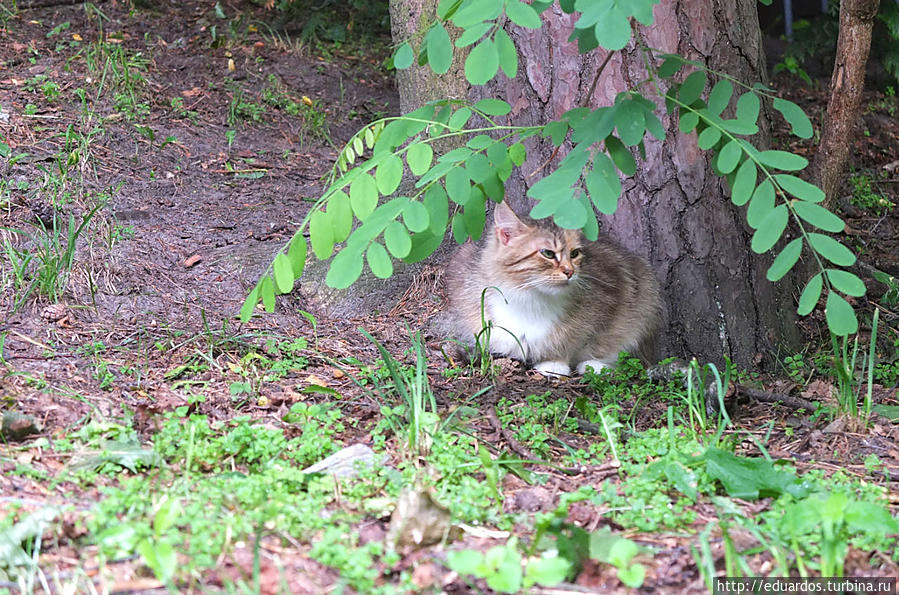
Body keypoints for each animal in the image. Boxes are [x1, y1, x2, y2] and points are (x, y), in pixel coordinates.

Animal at [442, 200, 660, 378]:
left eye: (575, 253)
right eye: (547, 253)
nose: (570, 271)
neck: (531, 300)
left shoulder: (616, 288)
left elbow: (591, 337)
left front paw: (558, 362)